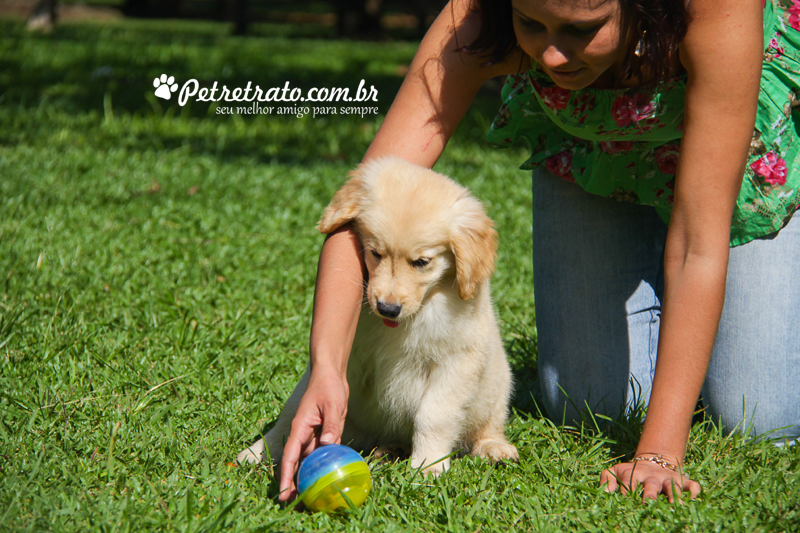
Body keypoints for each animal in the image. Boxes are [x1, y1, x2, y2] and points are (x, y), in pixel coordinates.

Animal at [236, 157, 520, 474]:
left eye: (422, 262)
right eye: (375, 253)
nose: (387, 308)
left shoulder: (456, 364)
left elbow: (433, 416)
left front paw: (428, 465)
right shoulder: (349, 356)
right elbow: (304, 406)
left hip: (498, 389)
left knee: (488, 426)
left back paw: (493, 448)